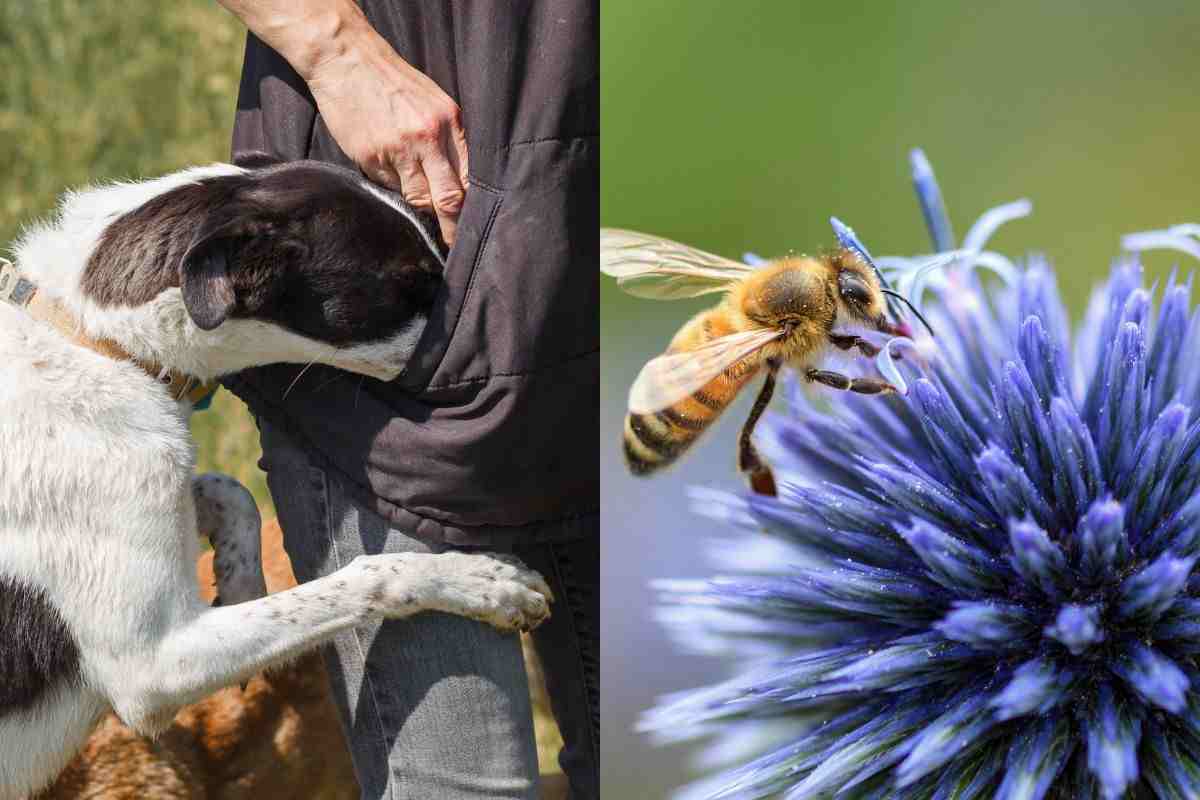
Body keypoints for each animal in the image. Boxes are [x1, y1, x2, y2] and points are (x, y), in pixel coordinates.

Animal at [0, 159, 552, 796]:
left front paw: (240, 582)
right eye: (411, 286)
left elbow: (229, 491)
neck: (95, 341)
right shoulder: (154, 667)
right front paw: (485, 581)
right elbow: (372, 574)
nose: (502, 350)